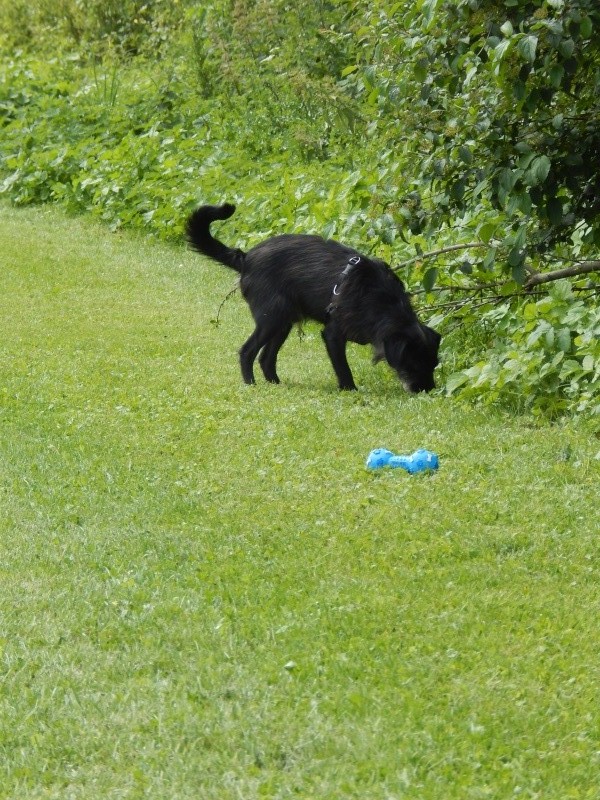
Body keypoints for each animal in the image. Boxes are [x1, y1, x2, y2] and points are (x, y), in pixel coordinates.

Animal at [186, 205, 440, 392]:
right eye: (413, 365)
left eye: (434, 364)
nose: (427, 390)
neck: (382, 301)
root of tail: (246, 258)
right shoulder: (333, 334)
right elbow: (343, 369)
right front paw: (349, 390)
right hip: (271, 320)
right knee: (248, 352)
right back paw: (251, 384)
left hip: (283, 323)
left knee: (266, 358)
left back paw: (276, 384)